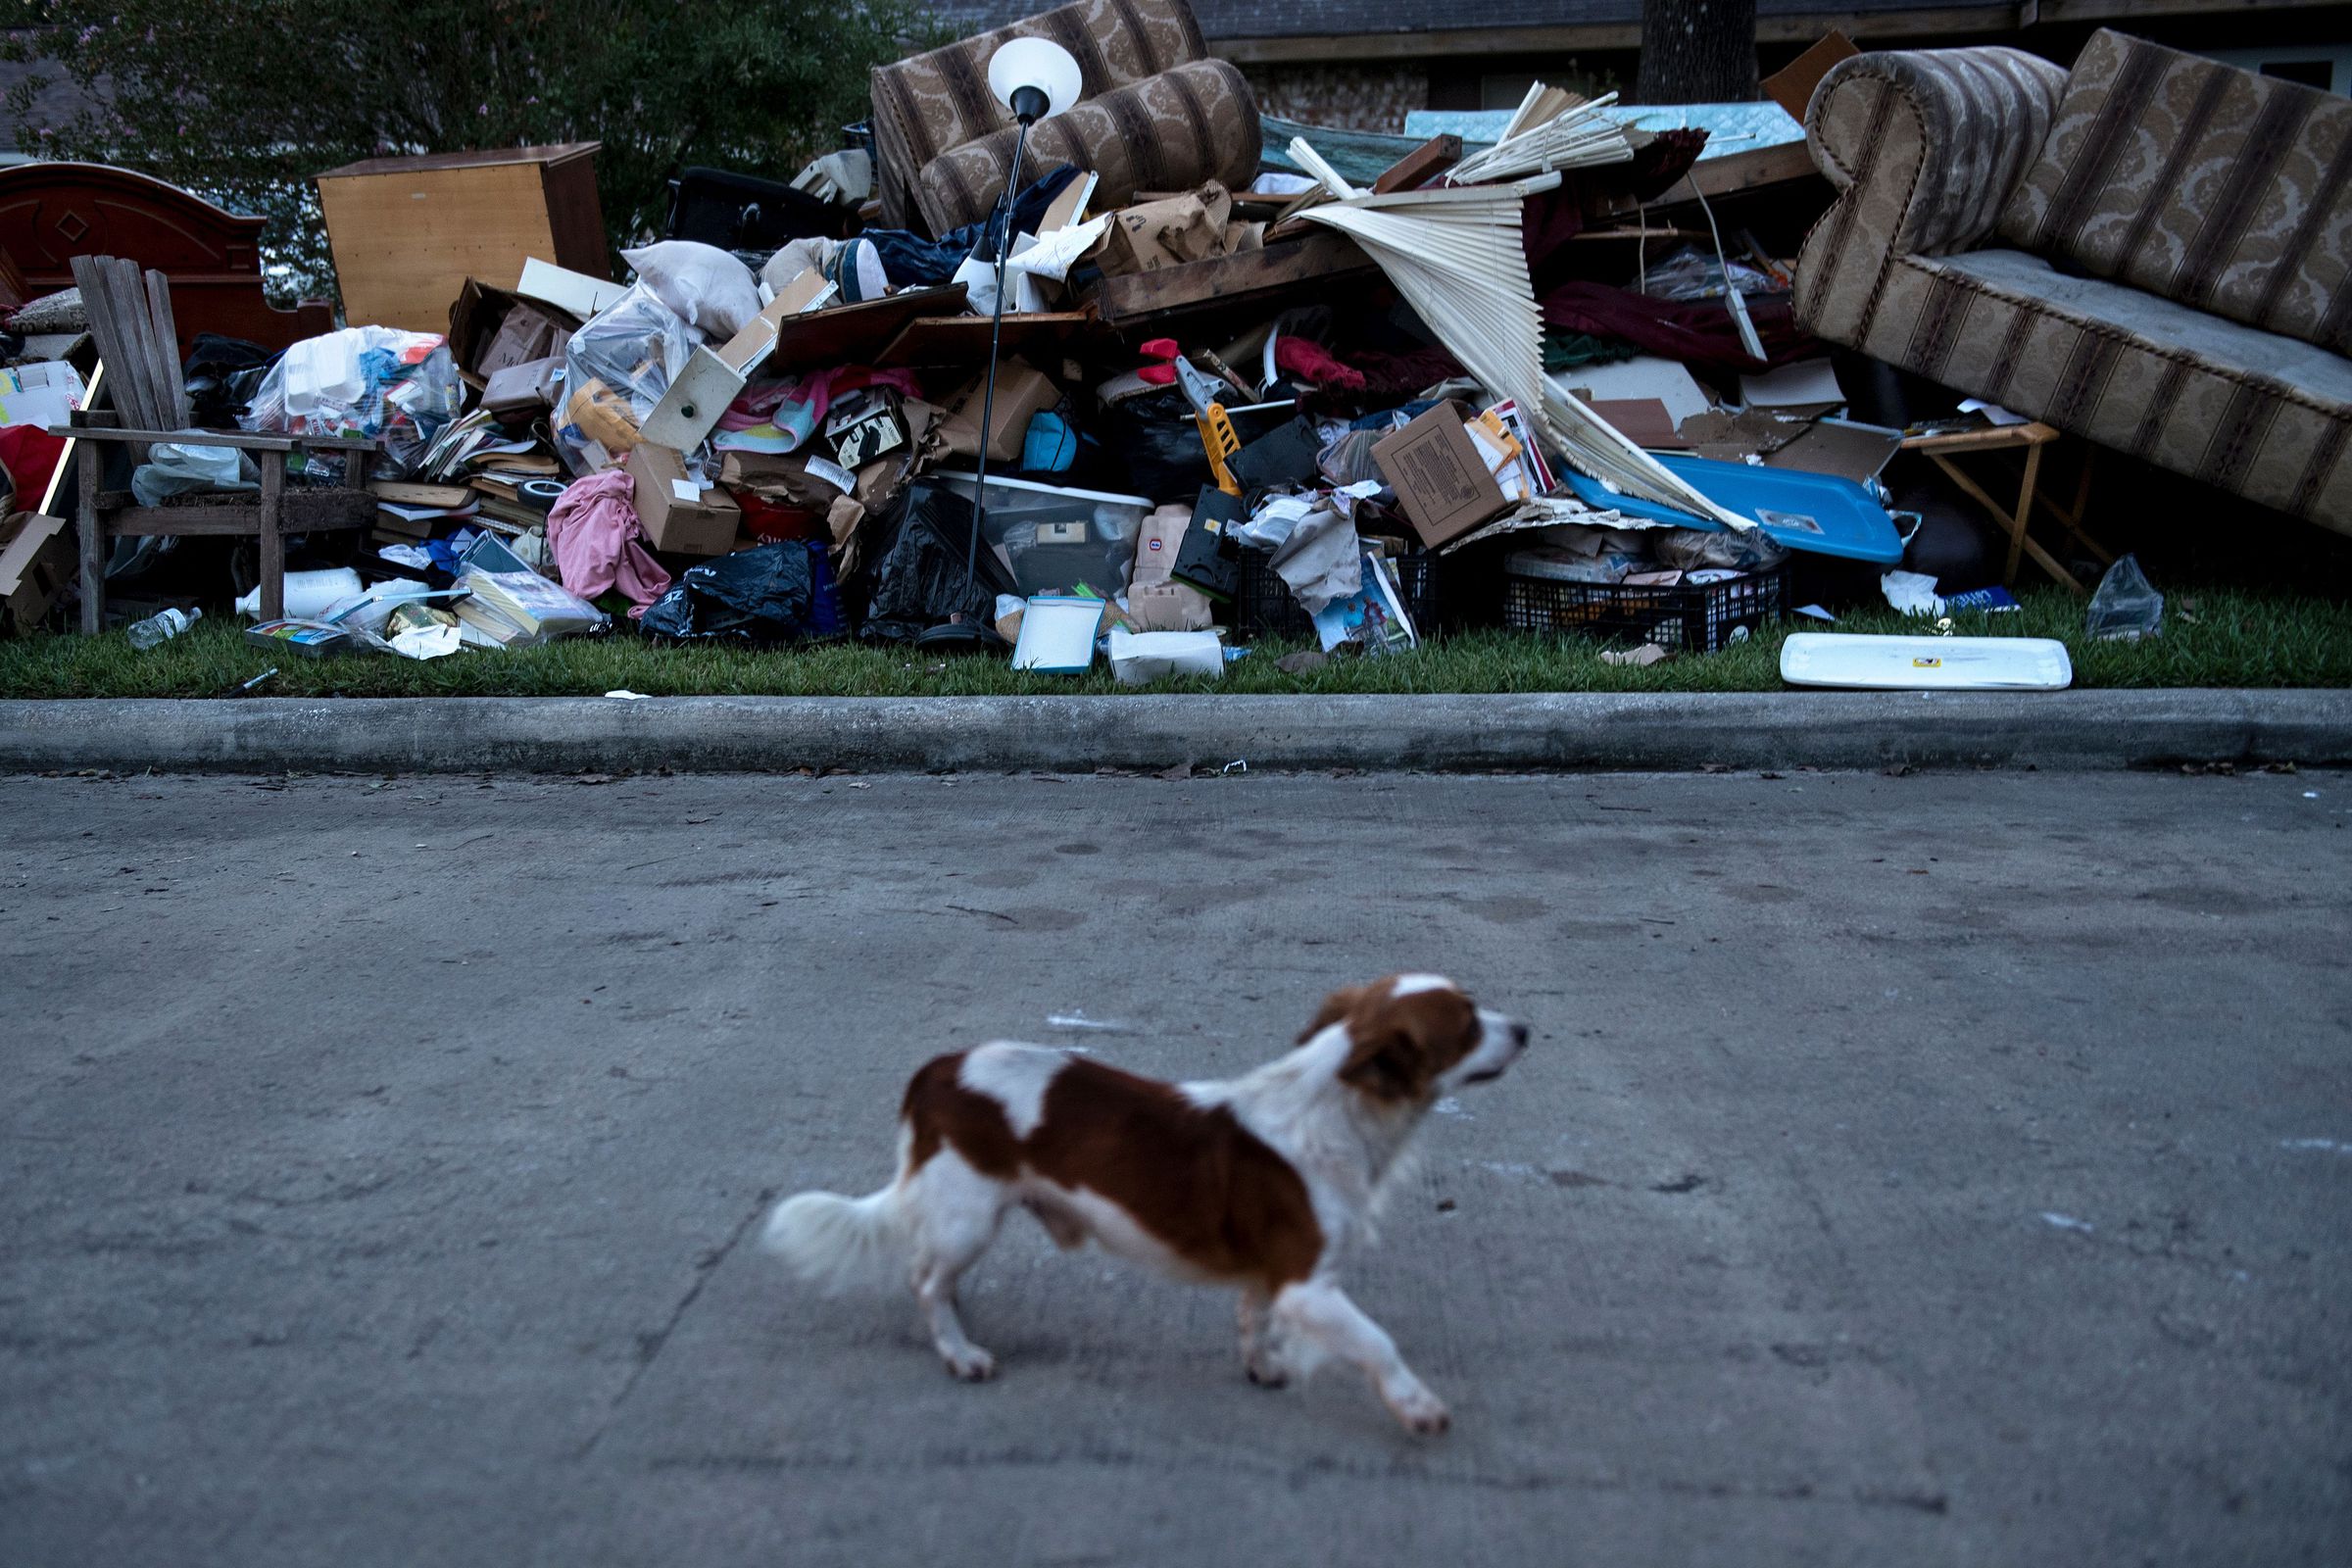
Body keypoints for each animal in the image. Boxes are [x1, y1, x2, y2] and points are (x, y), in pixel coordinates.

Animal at [761, 973, 1514, 1439]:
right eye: (1469, 1023)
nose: (1529, 1029)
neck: (1336, 1110)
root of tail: (937, 1072)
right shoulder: (1308, 1284)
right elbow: (1378, 1343)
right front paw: (1417, 1407)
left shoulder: (1270, 1275)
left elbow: (1252, 1318)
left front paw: (1262, 1368)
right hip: (969, 1217)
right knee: (924, 1280)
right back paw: (959, 1351)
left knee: (931, 1276)